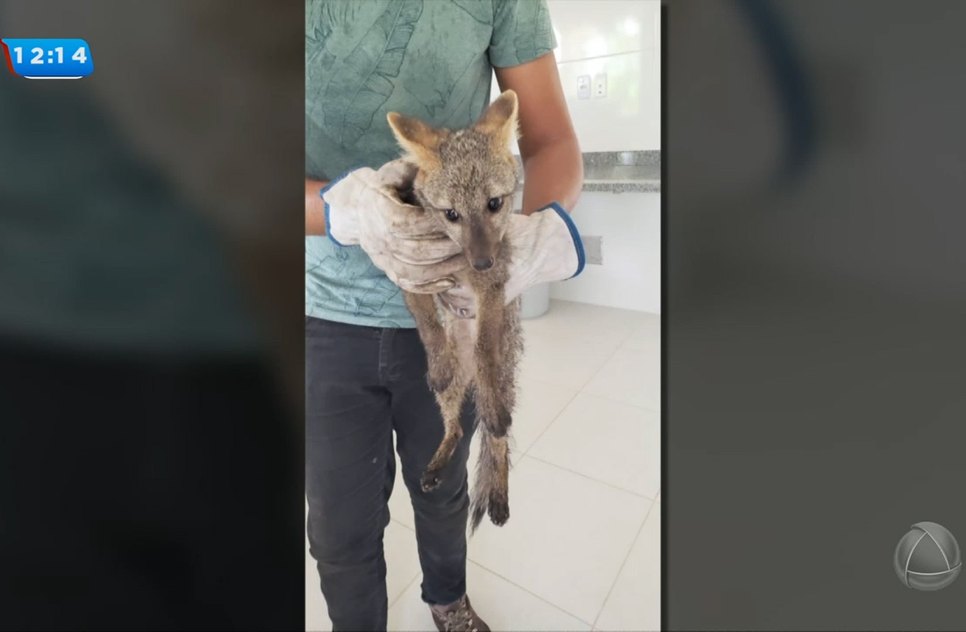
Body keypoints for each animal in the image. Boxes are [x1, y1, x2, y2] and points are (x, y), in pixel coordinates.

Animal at [386, 90, 523, 532]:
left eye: (494, 203)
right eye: (451, 214)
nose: (481, 262)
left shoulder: (494, 288)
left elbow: (484, 347)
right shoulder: (411, 278)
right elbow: (429, 327)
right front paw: (439, 359)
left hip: (505, 382)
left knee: (498, 438)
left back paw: (499, 494)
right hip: (444, 396)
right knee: (458, 428)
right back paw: (437, 461)